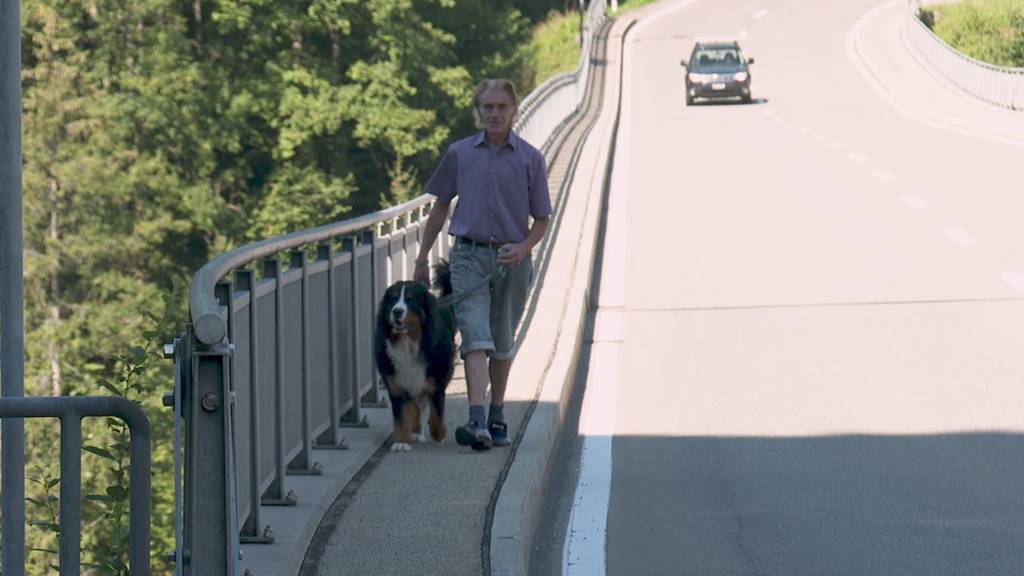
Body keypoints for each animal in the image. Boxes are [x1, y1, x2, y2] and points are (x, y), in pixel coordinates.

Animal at [372, 262, 456, 450]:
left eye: (410, 299)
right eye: (393, 299)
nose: (397, 311)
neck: (408, 343)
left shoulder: (435, 382)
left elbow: (437, 414)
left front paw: (439, 433)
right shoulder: (396, 384)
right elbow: (402, 416)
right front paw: (402, 442)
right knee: (415, 405)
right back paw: (416, 431)